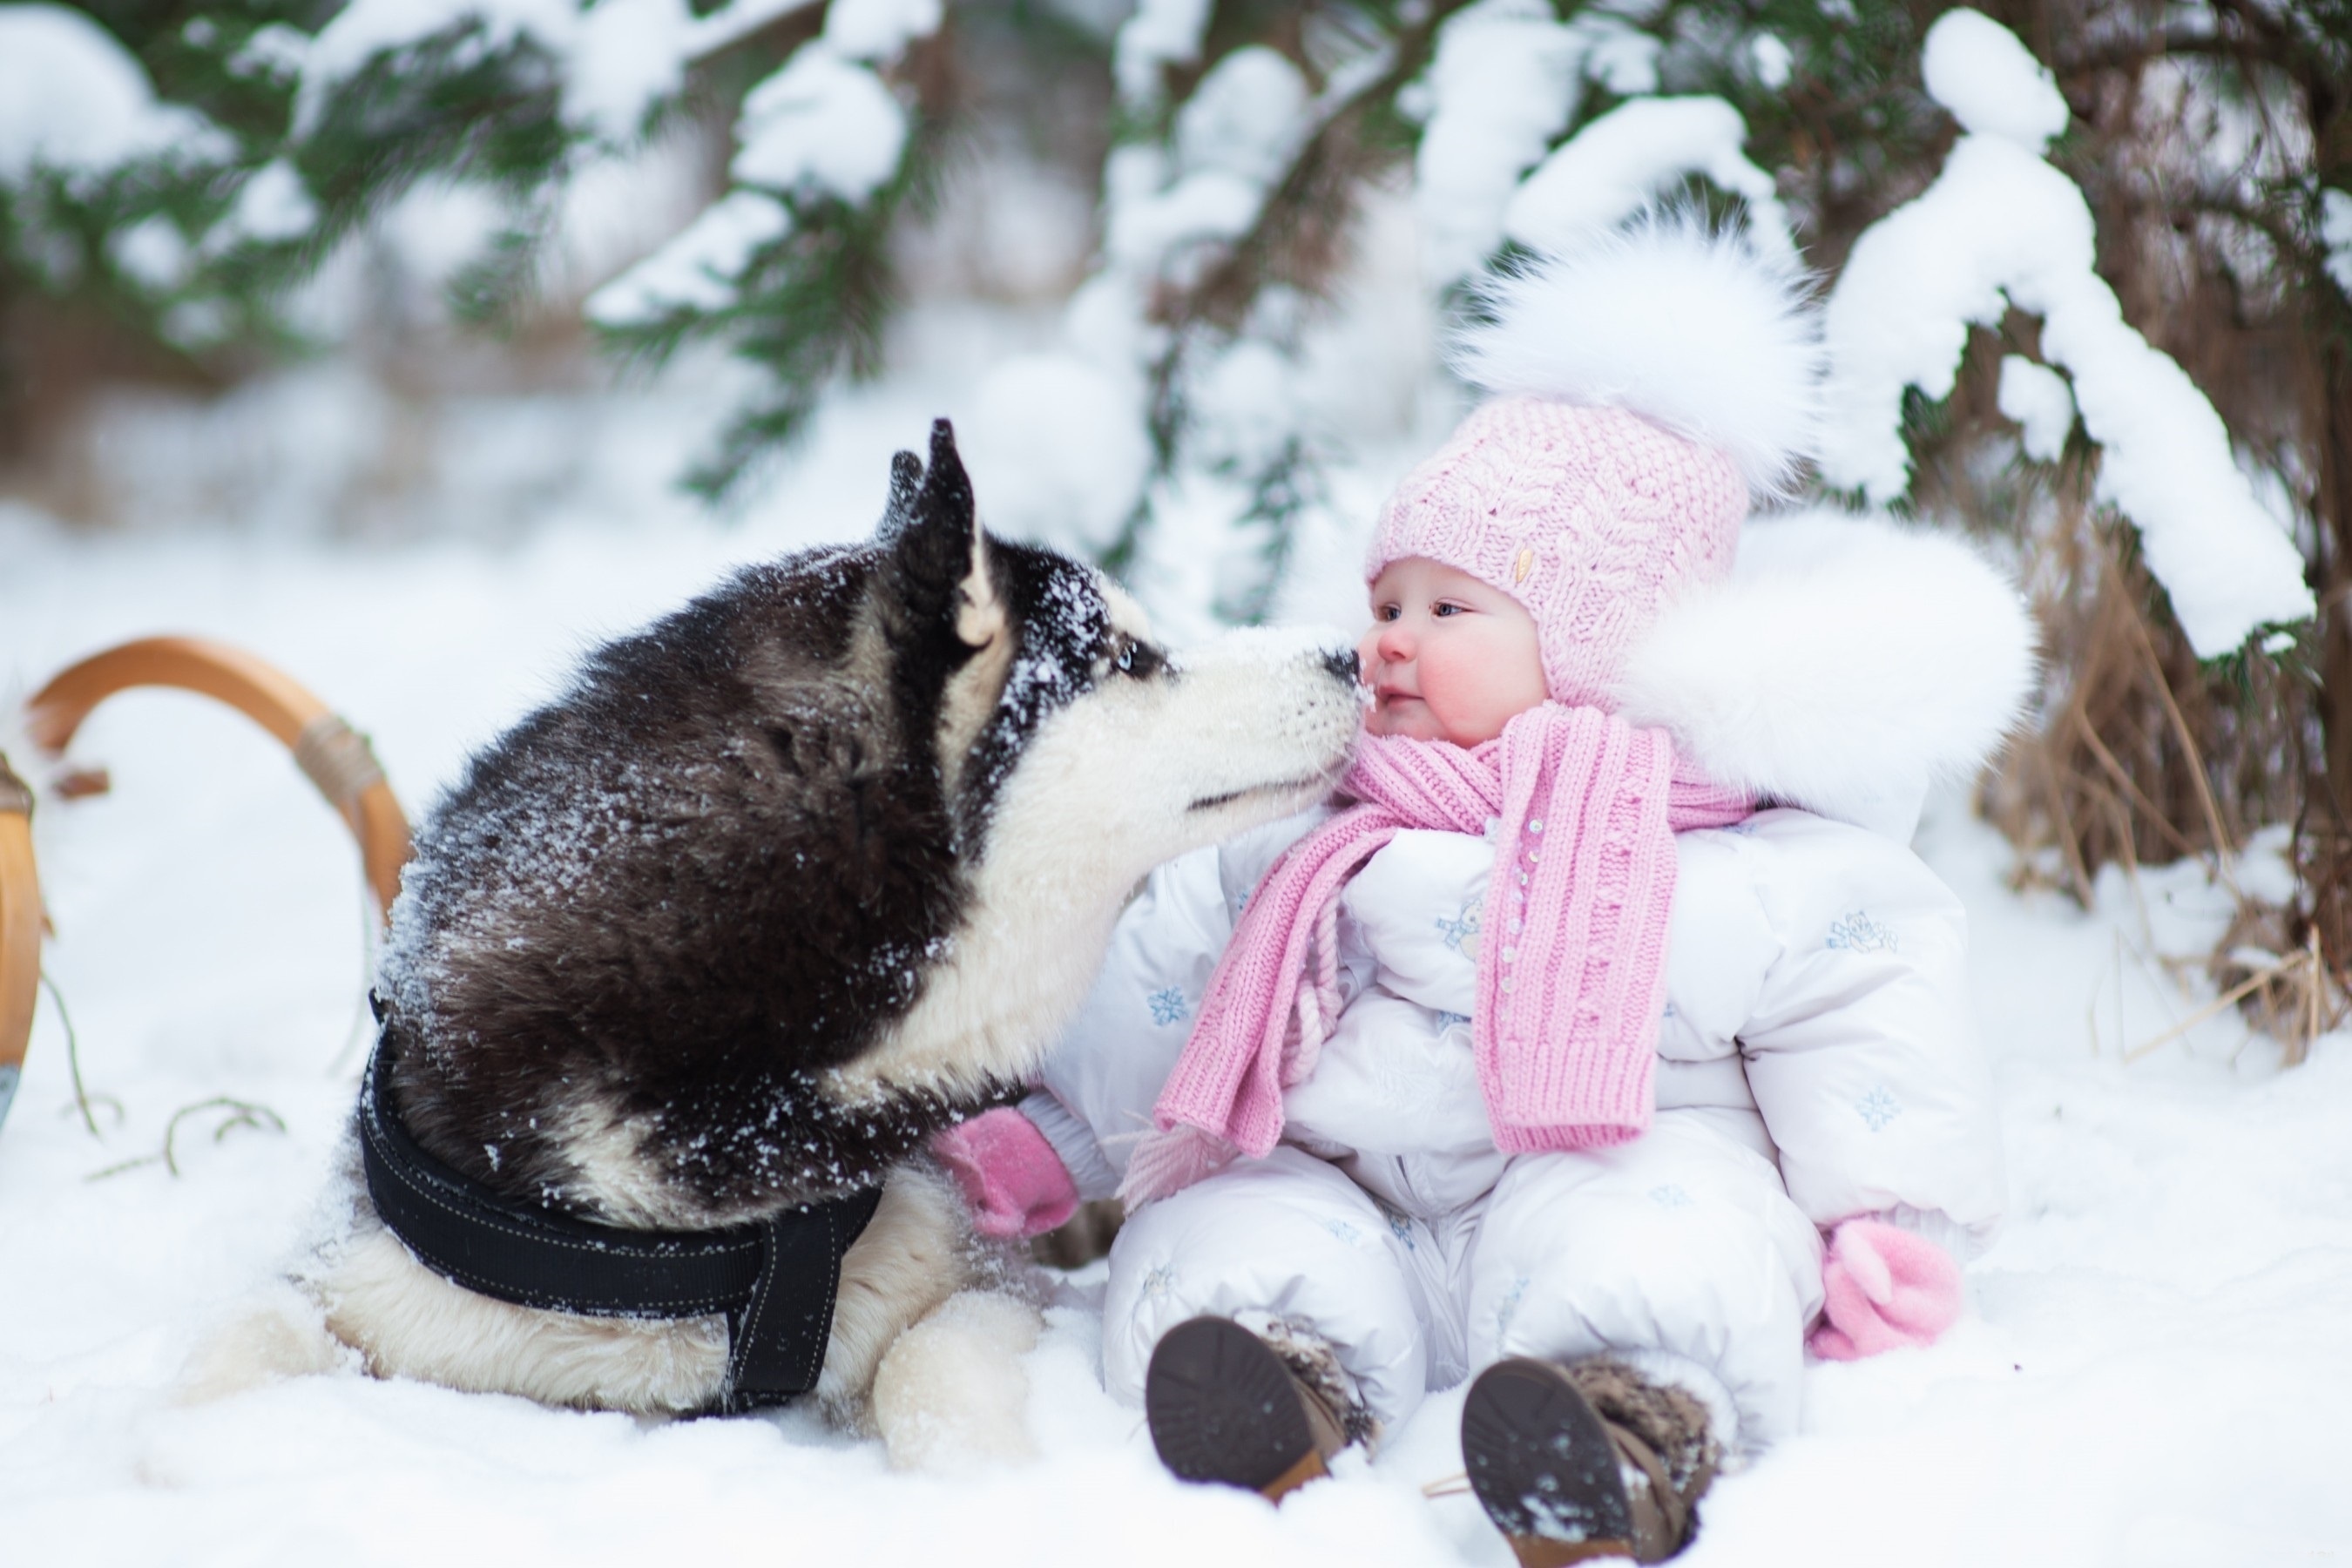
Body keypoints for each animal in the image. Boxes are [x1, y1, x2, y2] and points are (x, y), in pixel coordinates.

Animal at [233, 422, 1364, 1466]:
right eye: (1132, 659)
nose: (1350, 652)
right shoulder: (368, 1281)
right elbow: (246, 1345)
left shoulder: (977, 1273)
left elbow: (926, 1363)